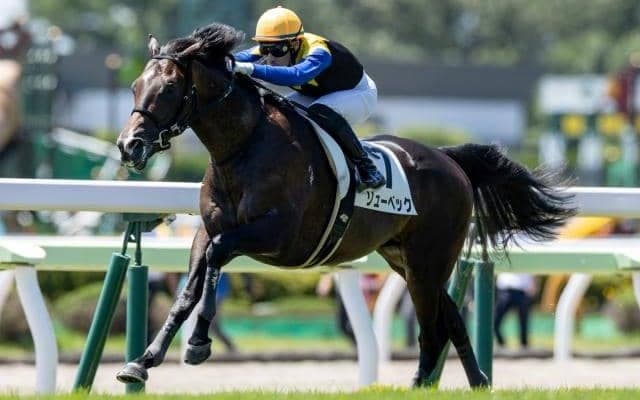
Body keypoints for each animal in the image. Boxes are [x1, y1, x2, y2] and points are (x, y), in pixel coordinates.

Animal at [115, 23, 574, 388]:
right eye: (135, 86)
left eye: (168, 88)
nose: (128, 145)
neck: (243, 147)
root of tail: (450, 160)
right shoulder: (208, 230)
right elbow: (189, 287)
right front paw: (143, 361)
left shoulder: (276, 234)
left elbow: (216, 256)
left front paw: (198, 343)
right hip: (406, 260)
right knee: (449, 318)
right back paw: (474, 381)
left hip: (430, 259)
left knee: (432, 326)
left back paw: (428, 384)